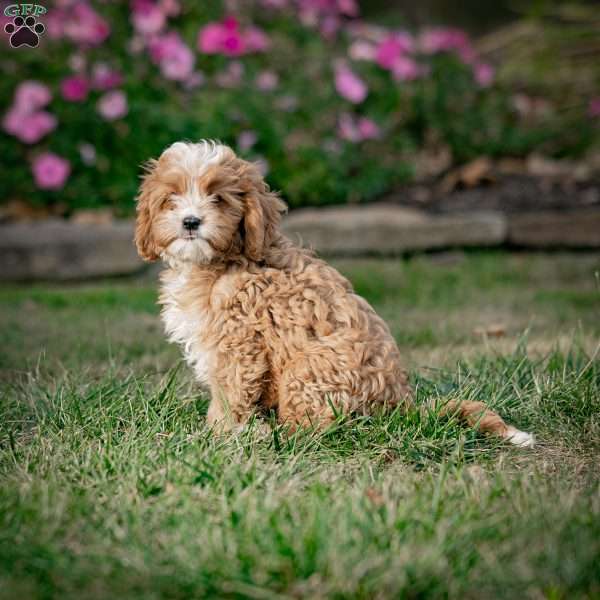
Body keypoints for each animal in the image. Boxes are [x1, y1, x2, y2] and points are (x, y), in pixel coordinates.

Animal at [135, 138, 536, 442]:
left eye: (218, 198)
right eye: (171, 198)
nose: (190, 221)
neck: (226, 261)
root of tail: (399, 405)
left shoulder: (239, 345)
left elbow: (229, 395)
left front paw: (215, 436)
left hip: (307, 367)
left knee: (319, 427)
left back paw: (275, 435)